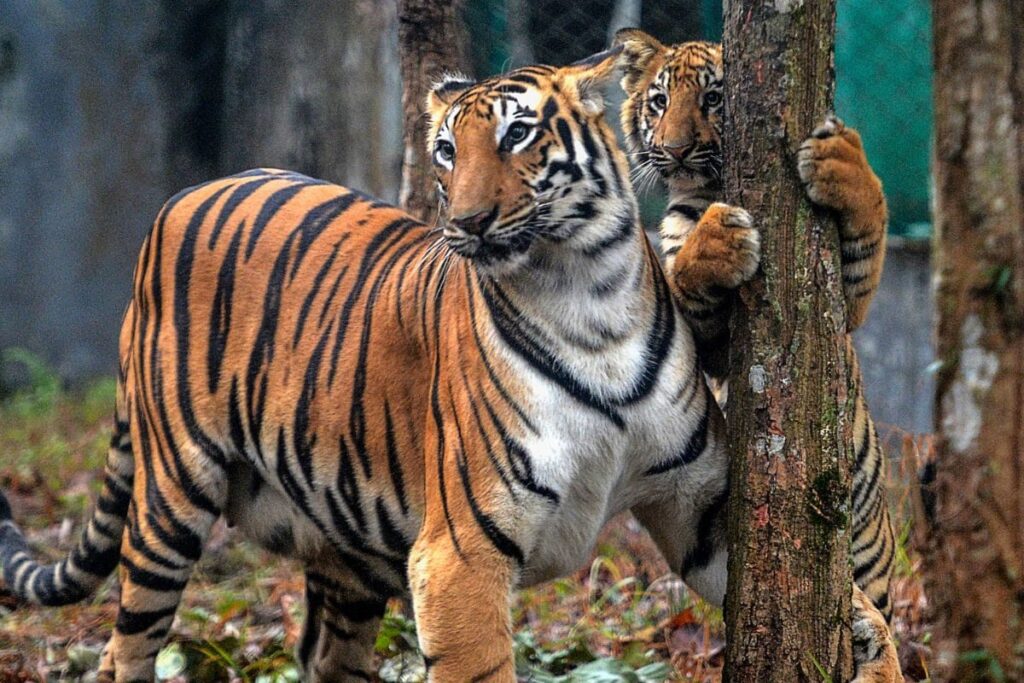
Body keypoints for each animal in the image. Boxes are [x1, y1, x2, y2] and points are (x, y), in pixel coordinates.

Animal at [0, 47, 744, 682]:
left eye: (517, 135)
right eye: (447, 151)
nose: (468, 222)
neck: (591, 295)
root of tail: (183, 196)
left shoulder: (699, 507)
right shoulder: (461, 552)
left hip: (348, 538)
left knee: (325, 653)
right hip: (172, 496)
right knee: (124, 646)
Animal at [614, 27, 901, 681]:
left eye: (715, 98)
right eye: (659, 102)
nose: (676, 151)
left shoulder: (842, 304)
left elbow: (868, 220)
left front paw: (840, 164)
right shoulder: (707, 343)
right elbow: (688, 273)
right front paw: (718, 240)